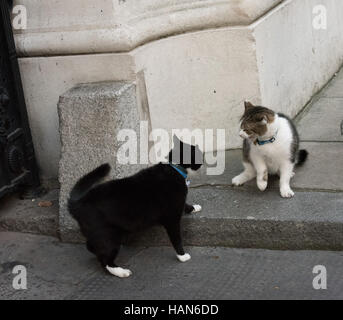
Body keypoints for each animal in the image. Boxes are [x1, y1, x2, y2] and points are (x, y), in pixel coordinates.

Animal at [69, 136, 204, 278]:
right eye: (199, 154)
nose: (203, 160)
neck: (175, 168)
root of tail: (78, 203)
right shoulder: (172, 219)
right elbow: (177, 239)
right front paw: (182, 256)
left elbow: (185, 205)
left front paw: (194, 207)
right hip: (108, 235)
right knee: (105, 259)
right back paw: (120, 271)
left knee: (91, 246)